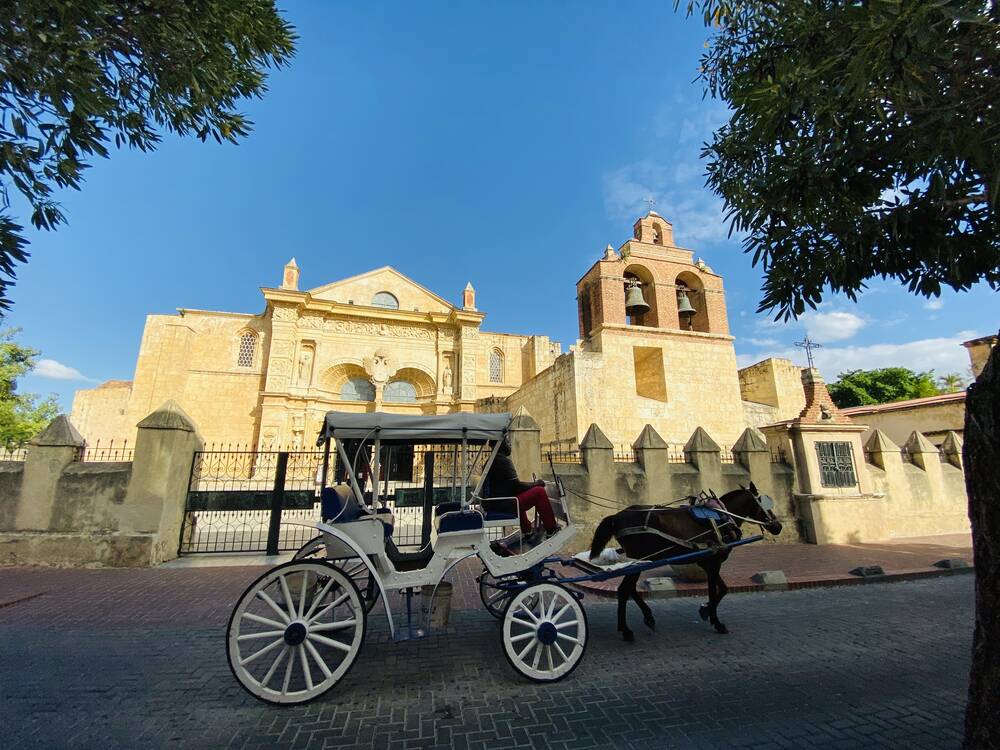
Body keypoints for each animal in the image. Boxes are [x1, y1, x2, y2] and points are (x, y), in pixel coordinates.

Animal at [584, 484, 780, 644]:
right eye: (764, 502)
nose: (778, 526)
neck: (722, 516)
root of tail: (617, 516)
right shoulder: (713, 562)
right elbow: (714, 591)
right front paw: (716, 622)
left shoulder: (707, 562)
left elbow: (723, 589)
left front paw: (705, 611)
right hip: (638, 560)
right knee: (624, 590)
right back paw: (626, 630)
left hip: (639, 561)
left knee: (629, 589)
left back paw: (647, 618)